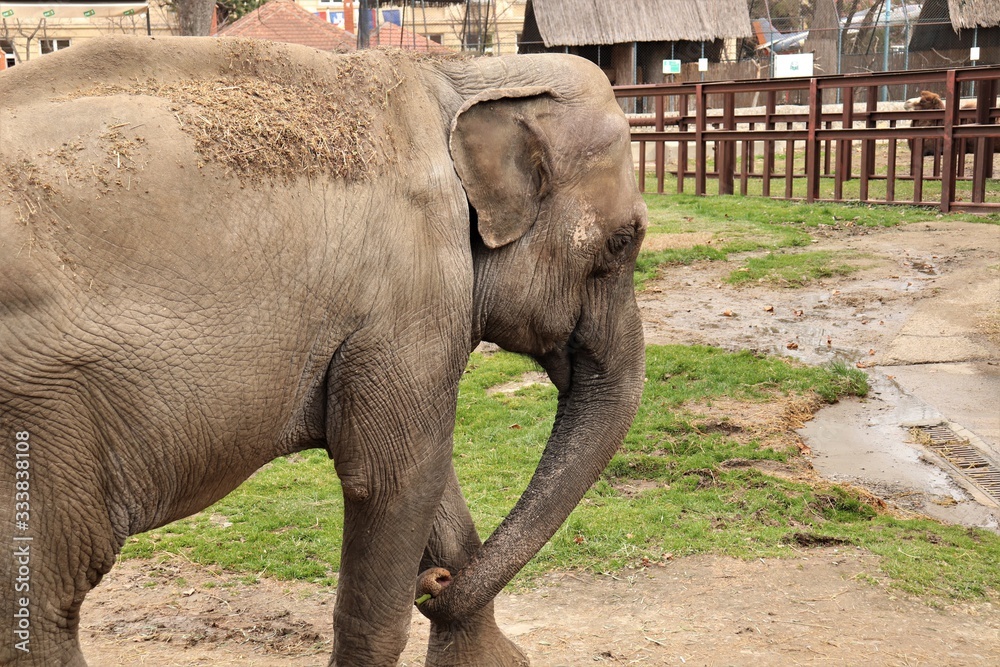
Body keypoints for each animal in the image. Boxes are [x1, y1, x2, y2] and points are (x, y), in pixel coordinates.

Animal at [0, 36, 646, 666]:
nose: (432, 584)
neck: (461, 74)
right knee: (46, 597)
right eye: (623, 241)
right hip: (43, 414)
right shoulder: (410, 288)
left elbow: (428, 479)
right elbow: (396, 477)